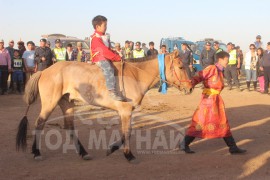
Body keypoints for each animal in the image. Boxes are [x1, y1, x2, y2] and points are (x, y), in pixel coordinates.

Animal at [16, 50, 192, 162]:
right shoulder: (126, 111)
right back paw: (36, 152)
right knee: (39, 123)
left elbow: (125, 133)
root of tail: (44, 71)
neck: (136, 74)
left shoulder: (124, 112)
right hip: (50, 103)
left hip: (67, 103)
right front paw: (128, 155)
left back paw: (83, 153)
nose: (190, 88)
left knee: (69, 127)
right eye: (181, 66)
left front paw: (113, 149)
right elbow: (127, 133)